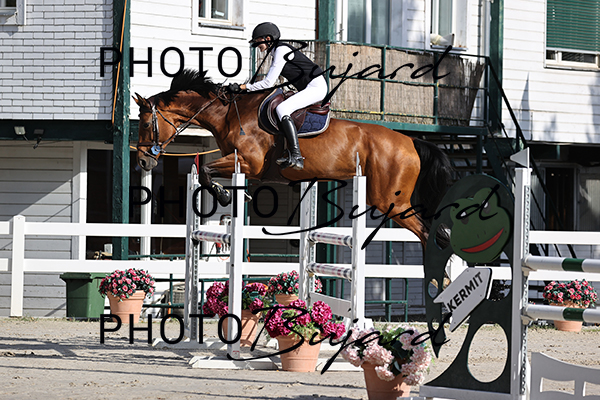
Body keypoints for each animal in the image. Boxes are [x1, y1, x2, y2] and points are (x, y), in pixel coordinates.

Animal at [134, 69, 452, 247]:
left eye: (145, 123)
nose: (143, 162)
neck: (228, 115)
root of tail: (410, 141)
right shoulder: (242, 165)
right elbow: (205, 174)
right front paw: (232, 195)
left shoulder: (249, 163)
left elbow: (206, 172)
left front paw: (224, 196)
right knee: (436, 234)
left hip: (390, 201)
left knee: (429, 234)